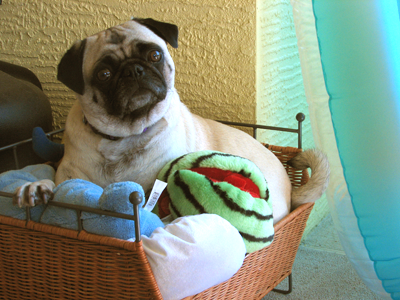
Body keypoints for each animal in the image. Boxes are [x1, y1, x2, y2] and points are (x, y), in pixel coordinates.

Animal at [14, 17, 330, 224]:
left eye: (155, 54)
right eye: (104, 74)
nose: (134, 70)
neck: (123, 137)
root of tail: (291, 189)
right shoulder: (69, 175)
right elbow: (56, 183)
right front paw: (37, 188)